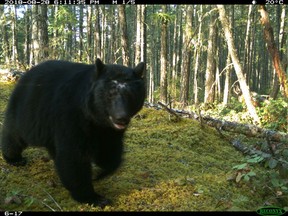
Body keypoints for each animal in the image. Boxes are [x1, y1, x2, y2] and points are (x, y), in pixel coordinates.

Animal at [1, 58, 146, 207]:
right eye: (110, 94)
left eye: (131, 95)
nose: (121, 118)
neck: (95, 118)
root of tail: (26, 74)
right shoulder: (71, 115)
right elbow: (74, 155)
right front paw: (92, 197)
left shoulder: (108, 130)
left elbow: (110, 150)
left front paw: (101, 171)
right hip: (28, 112)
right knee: (15, 134)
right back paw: (14, 158)